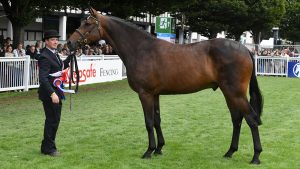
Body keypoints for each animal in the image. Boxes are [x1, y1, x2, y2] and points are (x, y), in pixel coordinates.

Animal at [67, 7, 262, 164]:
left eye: (87, 24)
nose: (69, 43)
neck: (140, 49)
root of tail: (246, 49)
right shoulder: (155, 94)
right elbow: (157, 120)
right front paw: (159, 148)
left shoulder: (144, 94)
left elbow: (148, 122)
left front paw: (148, 151)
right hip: (229, 93)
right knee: (237, 119)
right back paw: (230, 152)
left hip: (235, 93)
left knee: (251, 119)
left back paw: (256, 156)